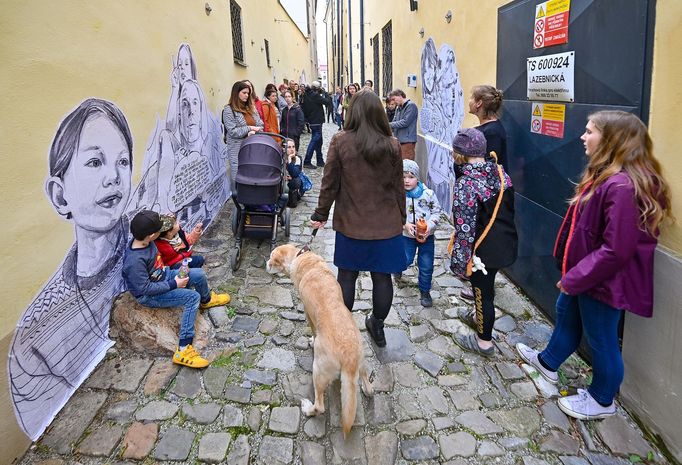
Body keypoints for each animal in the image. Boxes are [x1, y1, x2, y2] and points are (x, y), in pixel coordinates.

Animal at [266, 243, 372, 436]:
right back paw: (365, 387)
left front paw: (311, 341)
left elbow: (313, 331)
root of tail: (349, 357)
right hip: (362, 362)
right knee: (369, 387)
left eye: (271, 257)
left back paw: (308, 408)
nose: (265, 264)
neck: (301, 257)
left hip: (318, 371)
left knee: (320, 406)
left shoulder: (308, 314)